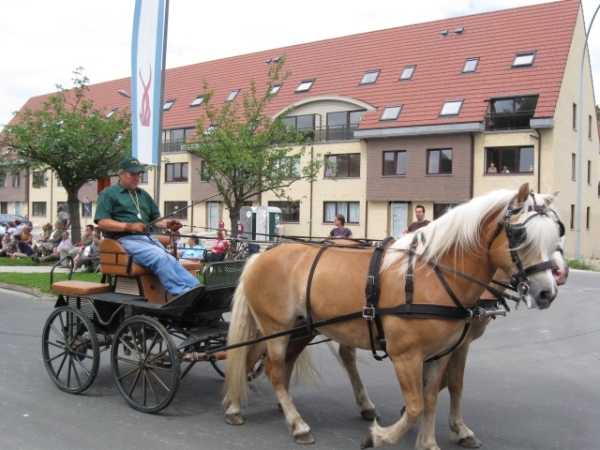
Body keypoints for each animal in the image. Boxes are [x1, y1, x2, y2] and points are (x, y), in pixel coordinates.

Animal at [223, 184, 560, 450]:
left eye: (557, 234)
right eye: (520, 234)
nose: (548, 291)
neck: (432, 275)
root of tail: (260, 255)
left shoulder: (441, 353)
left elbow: (433, 396)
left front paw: (429, 443)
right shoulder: (407, 356)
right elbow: (416, 405)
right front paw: (378, 437)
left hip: (297, 329)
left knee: (258, 359)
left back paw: (240, 406)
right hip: (277, 328)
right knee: (273, 370)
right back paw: (297, 425)